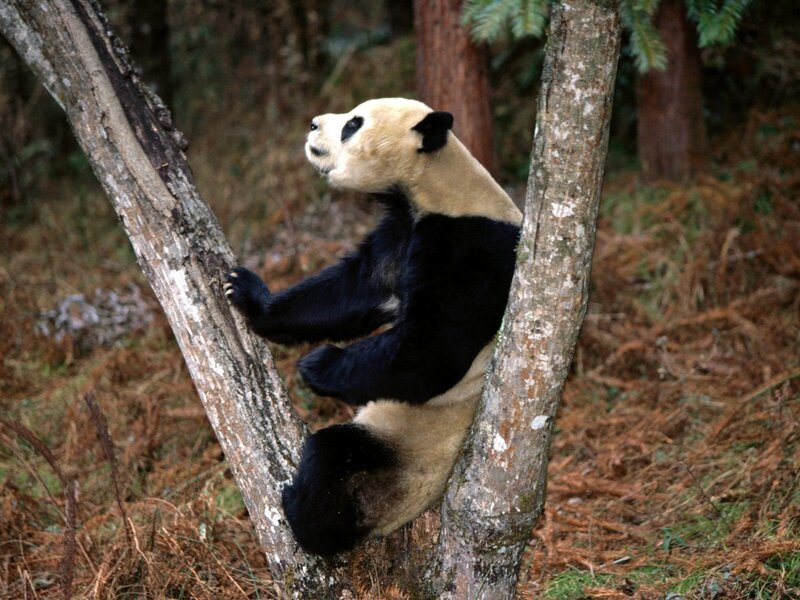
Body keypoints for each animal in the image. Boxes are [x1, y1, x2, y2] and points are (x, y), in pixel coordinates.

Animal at [225, 98, 522, 555]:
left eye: (352, 124)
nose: (313, 124)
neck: (436, 182)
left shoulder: (467, 246)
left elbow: (431, 351)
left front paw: (316, 366)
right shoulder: (400, 232)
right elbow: (352, 291)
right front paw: (249, 295)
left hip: (405, 448)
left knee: (332, 457)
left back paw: (305, 519)